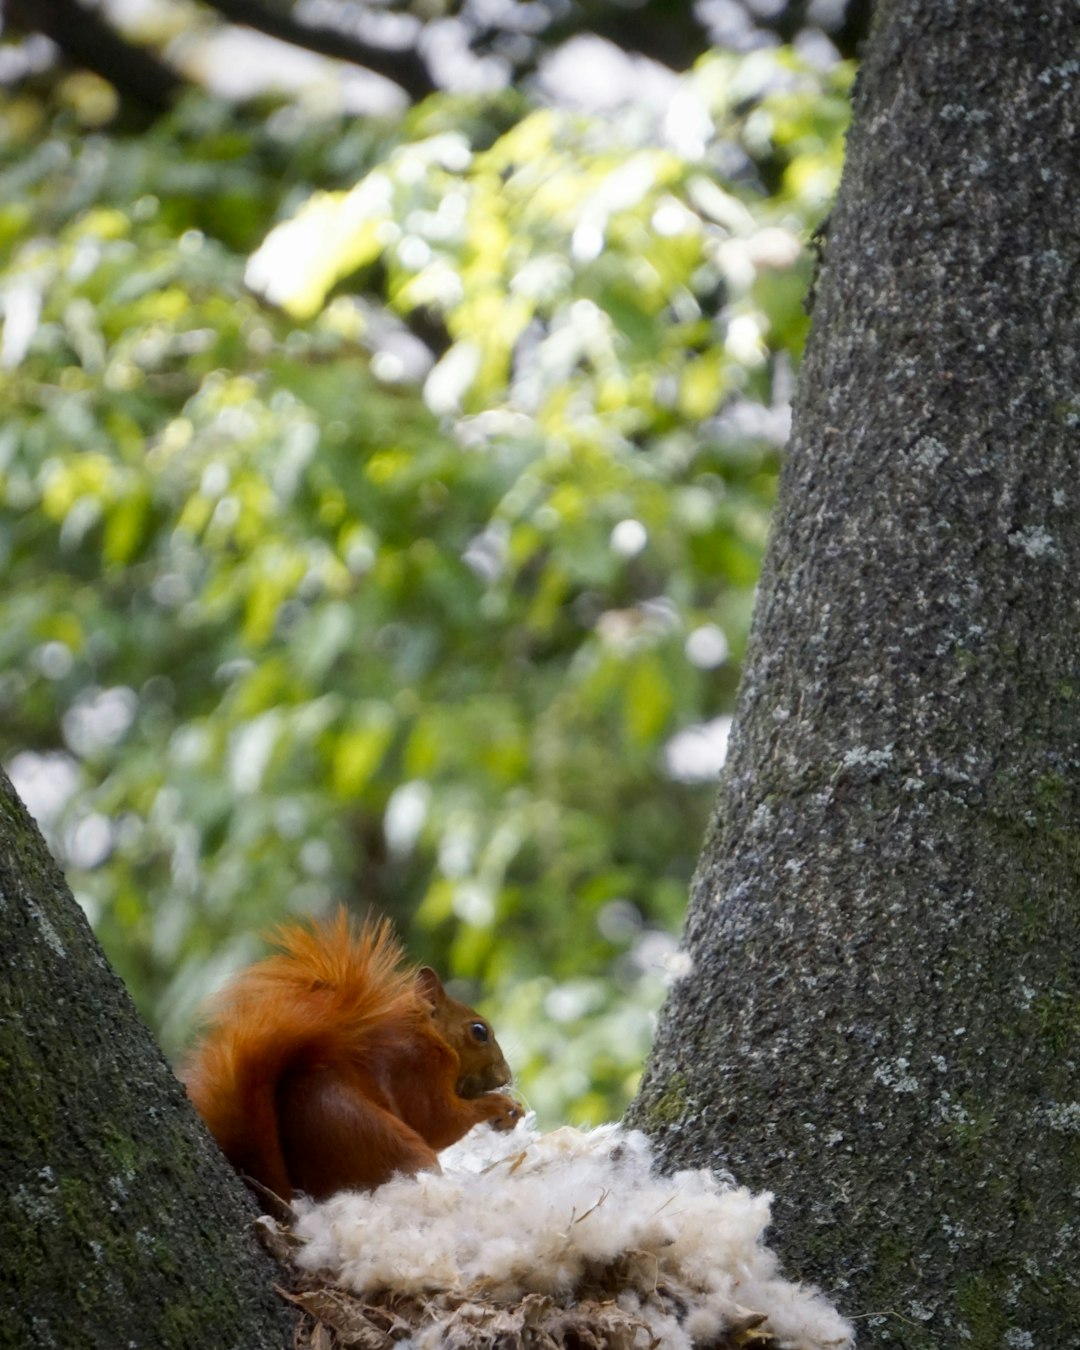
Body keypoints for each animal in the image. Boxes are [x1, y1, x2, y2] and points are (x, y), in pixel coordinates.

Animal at [182, 912, 523, 1198]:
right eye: (479, 1031)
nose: (506, 1077)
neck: (428, 1035)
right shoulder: (417, 1069)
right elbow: (437, 1122)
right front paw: (499, 1104)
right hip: (387, 1142)